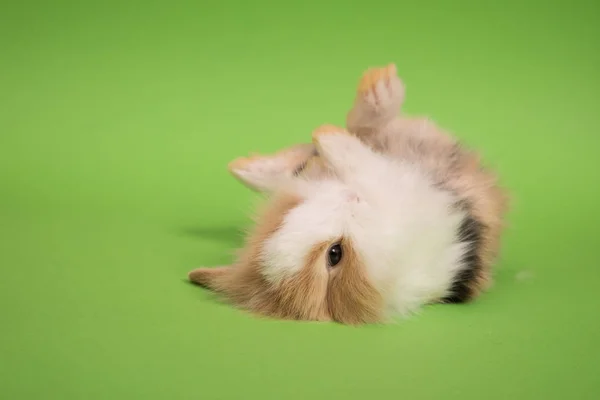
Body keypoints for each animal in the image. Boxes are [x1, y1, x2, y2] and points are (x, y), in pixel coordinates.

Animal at [188, 63, 506, 324]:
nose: (345, 199)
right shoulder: (392, 193)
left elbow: (340, 157)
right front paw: (325, 140)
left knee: (359, 130)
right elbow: (356, 162)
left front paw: (322, 135)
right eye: (335, 254)